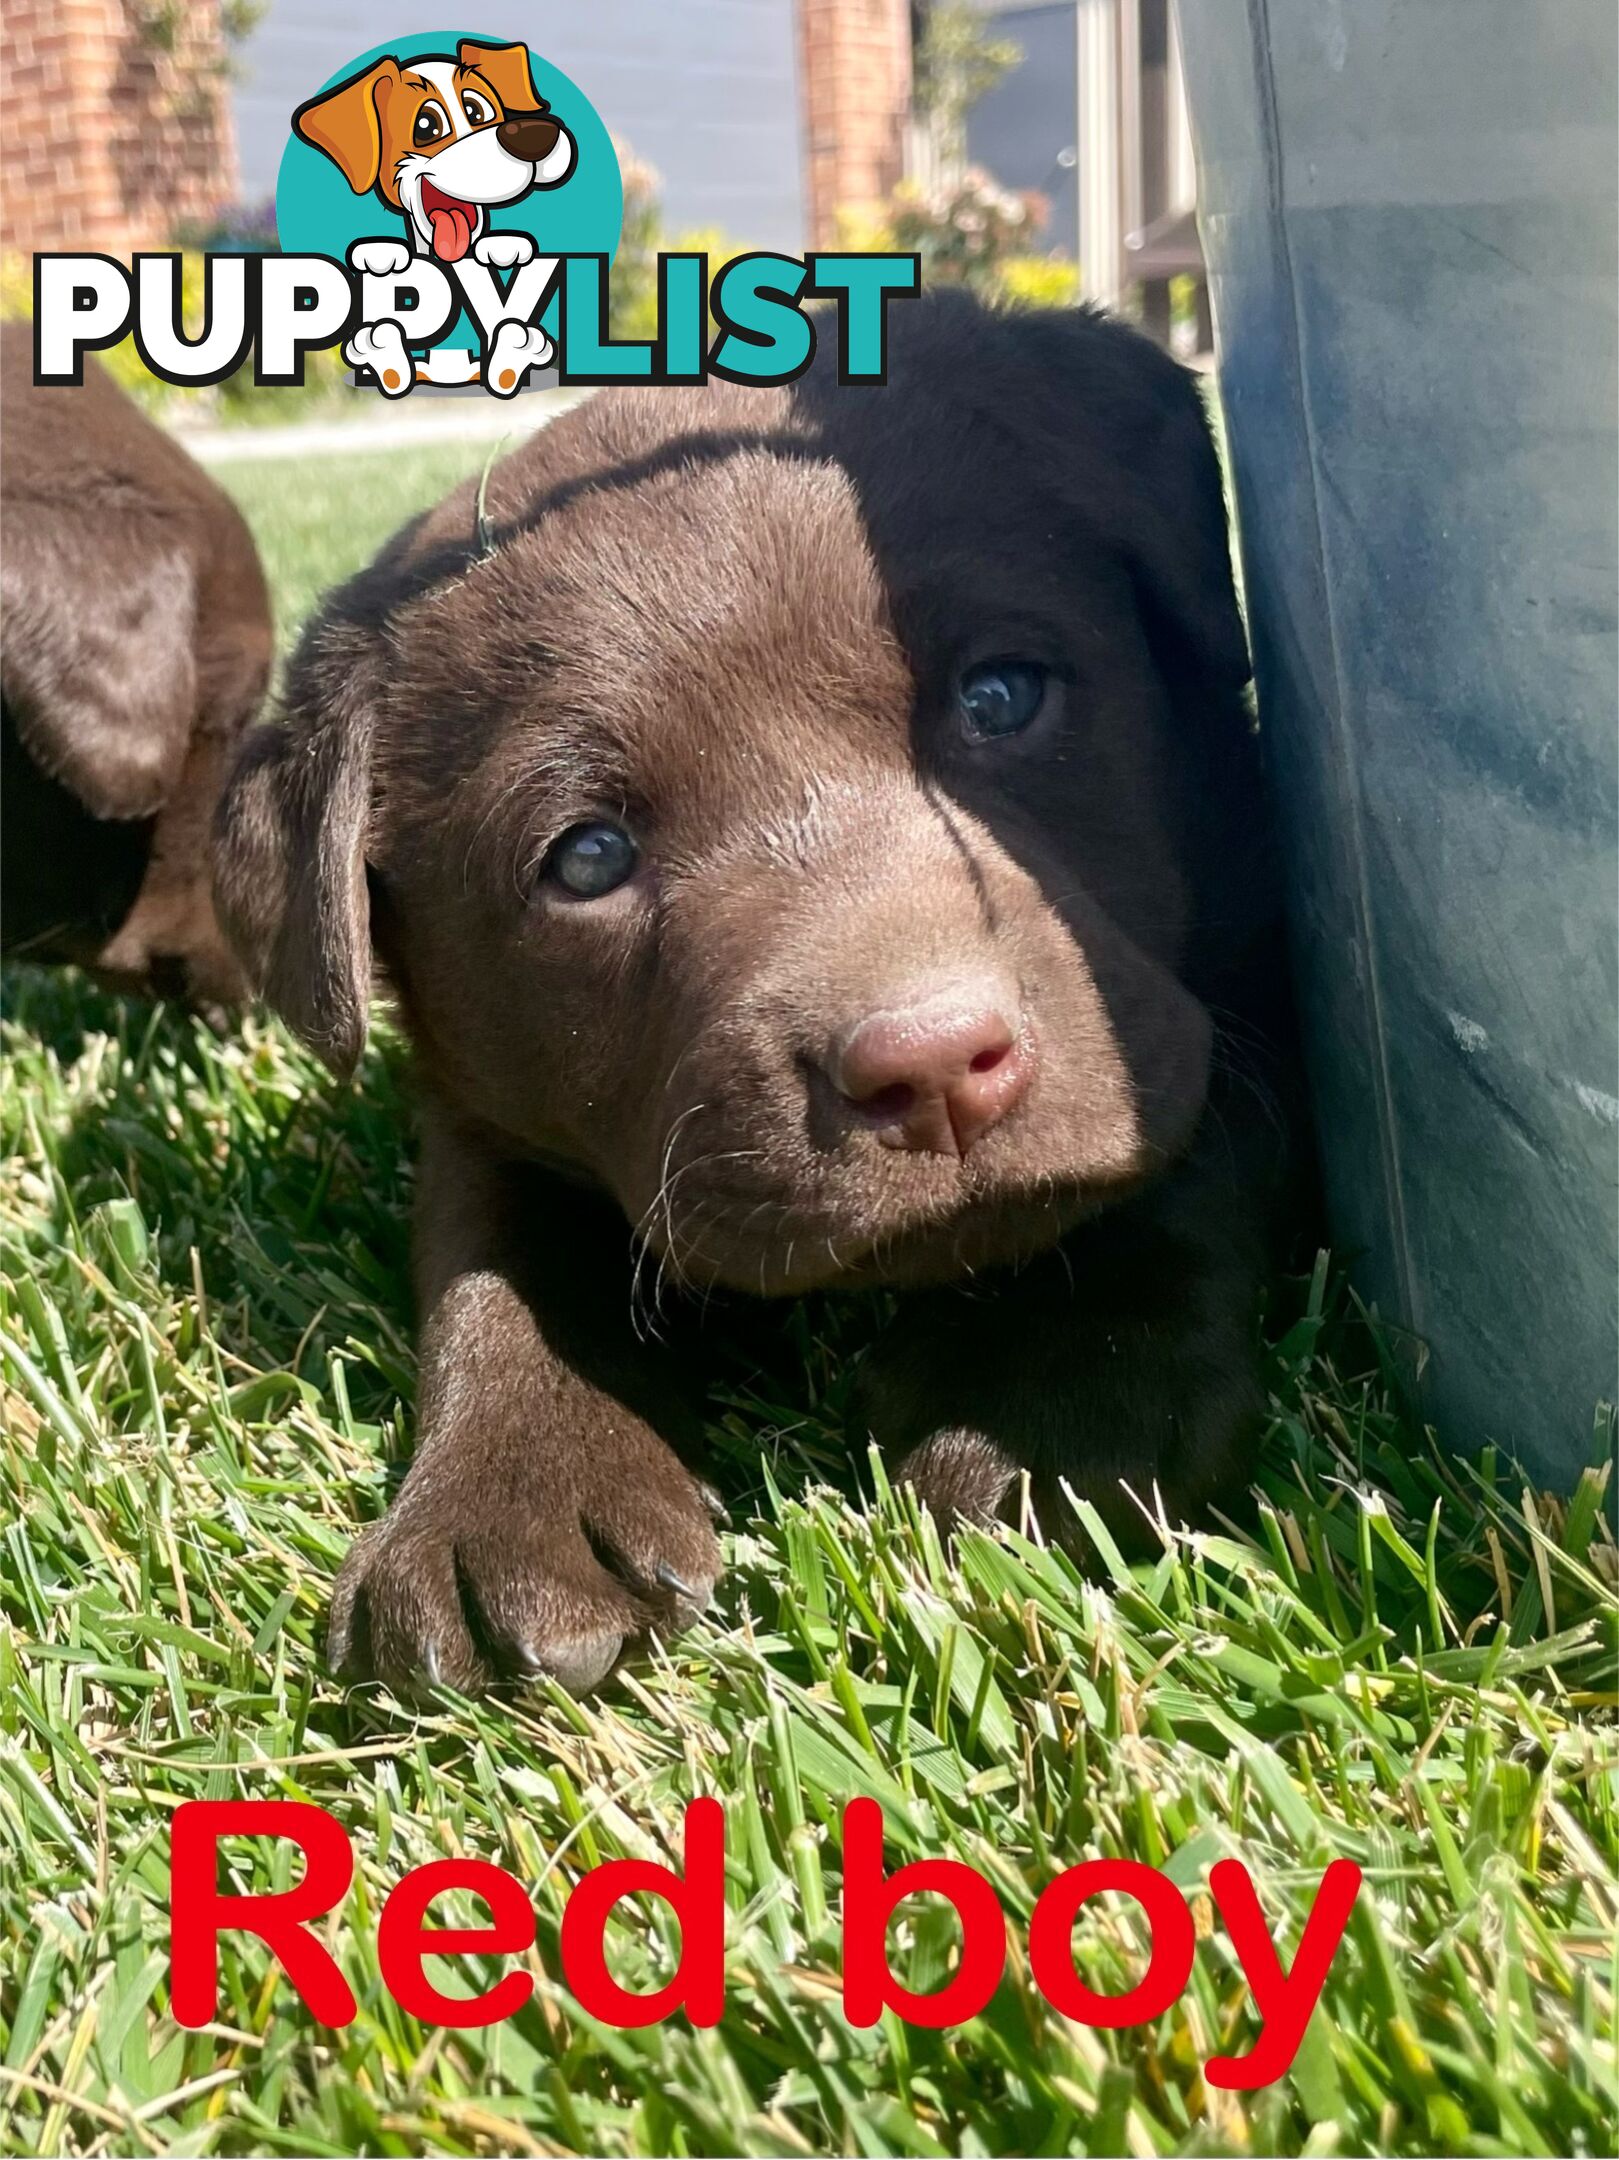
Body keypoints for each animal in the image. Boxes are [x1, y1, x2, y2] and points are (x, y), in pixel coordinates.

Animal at [215, 295, 1303, 1693]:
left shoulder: (1251, 953)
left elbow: (1194, 1137)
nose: (932, 1066)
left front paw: (1057, 1392)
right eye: (586, 859)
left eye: (1000, 694)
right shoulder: (475, 1110)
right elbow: (489, 1270)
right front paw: (500, 1510)